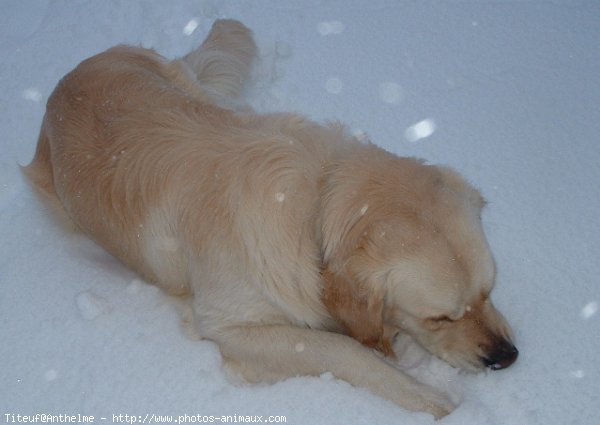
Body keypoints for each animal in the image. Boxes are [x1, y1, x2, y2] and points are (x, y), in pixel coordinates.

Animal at [24, 19, 516, 418]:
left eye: (489, 292)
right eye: (440, 318)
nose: (507, 357)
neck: (315, 206)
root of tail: (71, 75)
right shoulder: (227, 325)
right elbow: (339, 349)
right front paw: (432, 399)